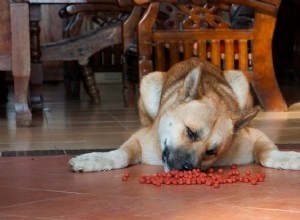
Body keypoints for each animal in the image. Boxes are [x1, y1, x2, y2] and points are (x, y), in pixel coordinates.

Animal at [68, 58, 300, 172]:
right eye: (190, 132)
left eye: (211, 152)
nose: (187, 168)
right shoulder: (140, 139)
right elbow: (121, 154)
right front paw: (95, 159)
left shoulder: (254, 137)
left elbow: (267, 153)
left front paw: (287, 157)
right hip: (150, 83)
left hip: (240, 81)